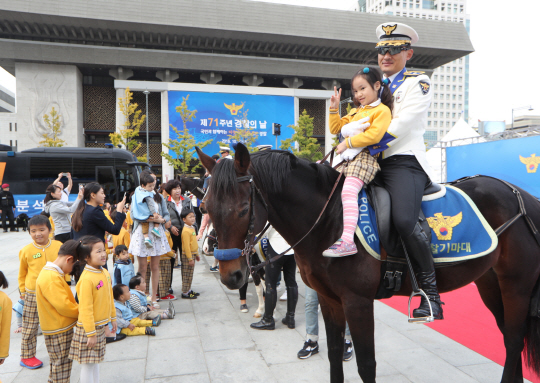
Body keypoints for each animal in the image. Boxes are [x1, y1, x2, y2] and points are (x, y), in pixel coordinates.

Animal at [196, 145, 540, 383]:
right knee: (510, 340)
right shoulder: (329, 299)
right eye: (206, 206)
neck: (330, 221)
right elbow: (335, 356)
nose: (231, 274)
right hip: (490, 282)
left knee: (513, 340)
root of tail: (521, 195)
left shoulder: (357, 301)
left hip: (517, 284)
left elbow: (366, 364)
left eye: (244, 208)